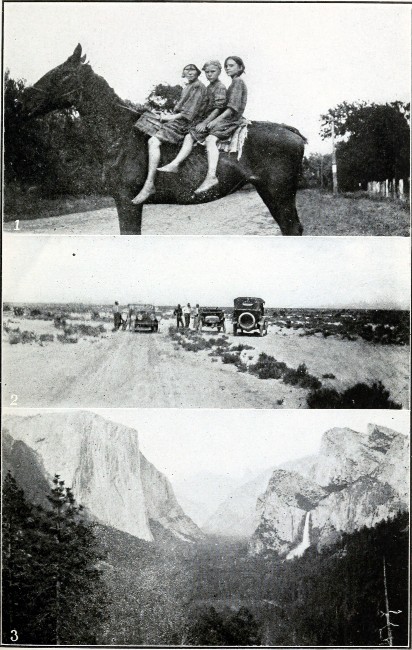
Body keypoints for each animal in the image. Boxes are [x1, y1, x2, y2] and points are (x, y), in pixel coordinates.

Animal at [22, 44, 306, 235]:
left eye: (63, 74)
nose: (25, 100)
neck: (120, 134)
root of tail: (292, 132)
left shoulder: (127, 202)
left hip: (278, 193)